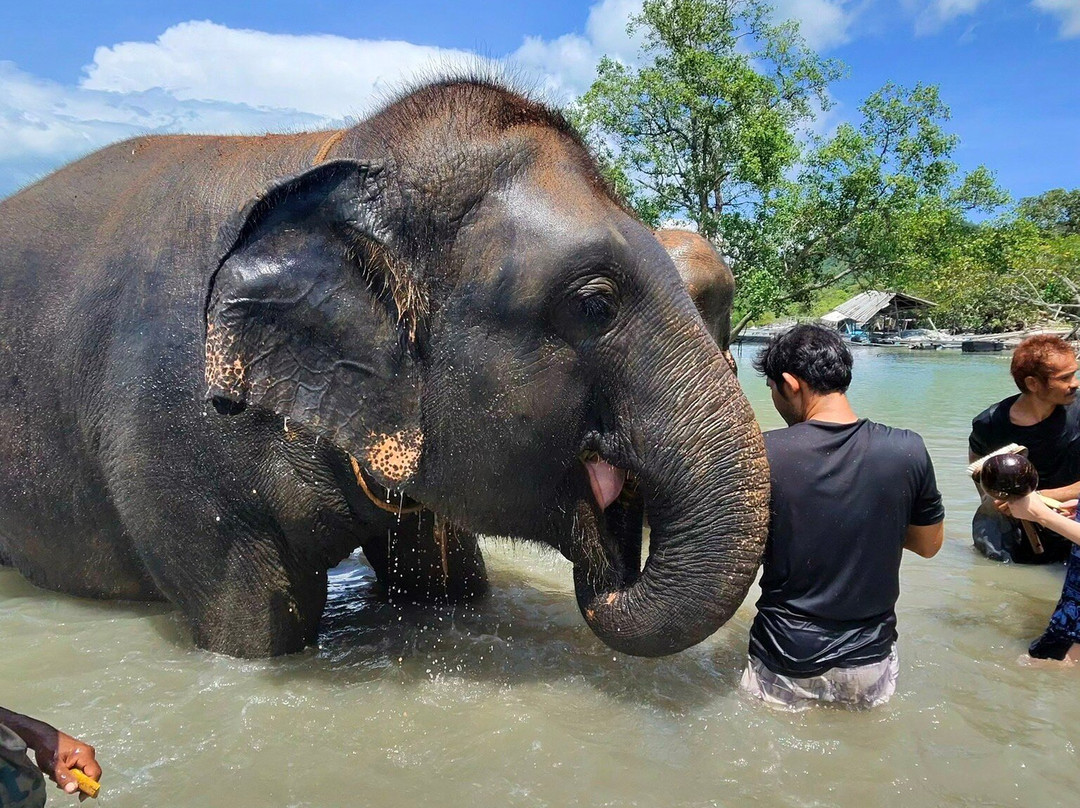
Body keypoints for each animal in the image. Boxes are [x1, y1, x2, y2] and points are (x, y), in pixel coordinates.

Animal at [0, 78, 770, 658]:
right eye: (595, 304)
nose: (613, 557)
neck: (337, 155)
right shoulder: (172, 450)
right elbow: (256, 630)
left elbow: (446, 583)